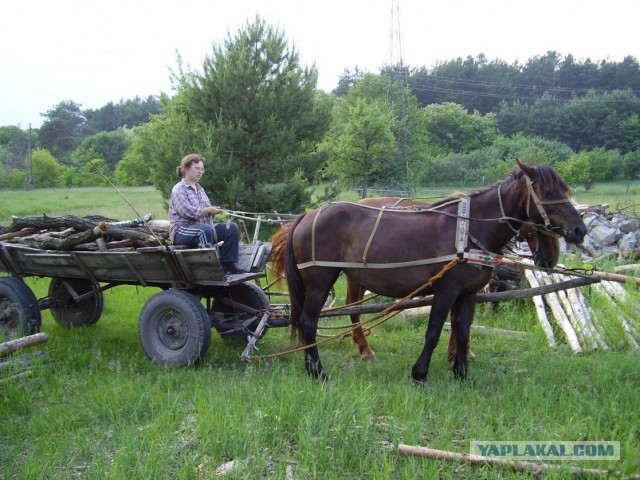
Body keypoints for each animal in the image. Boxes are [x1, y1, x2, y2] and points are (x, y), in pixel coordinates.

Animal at [270, 161, 584, 382]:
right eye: (547, 192)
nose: (579, 230)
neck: (468, 228)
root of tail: (307, 216)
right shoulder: (445, 290)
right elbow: (433, 331)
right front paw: (420, 373)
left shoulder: (468, 293)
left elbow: (463, 330)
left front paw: (461, 372)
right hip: (320, 281)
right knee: (310, 322)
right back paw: (318, 371)